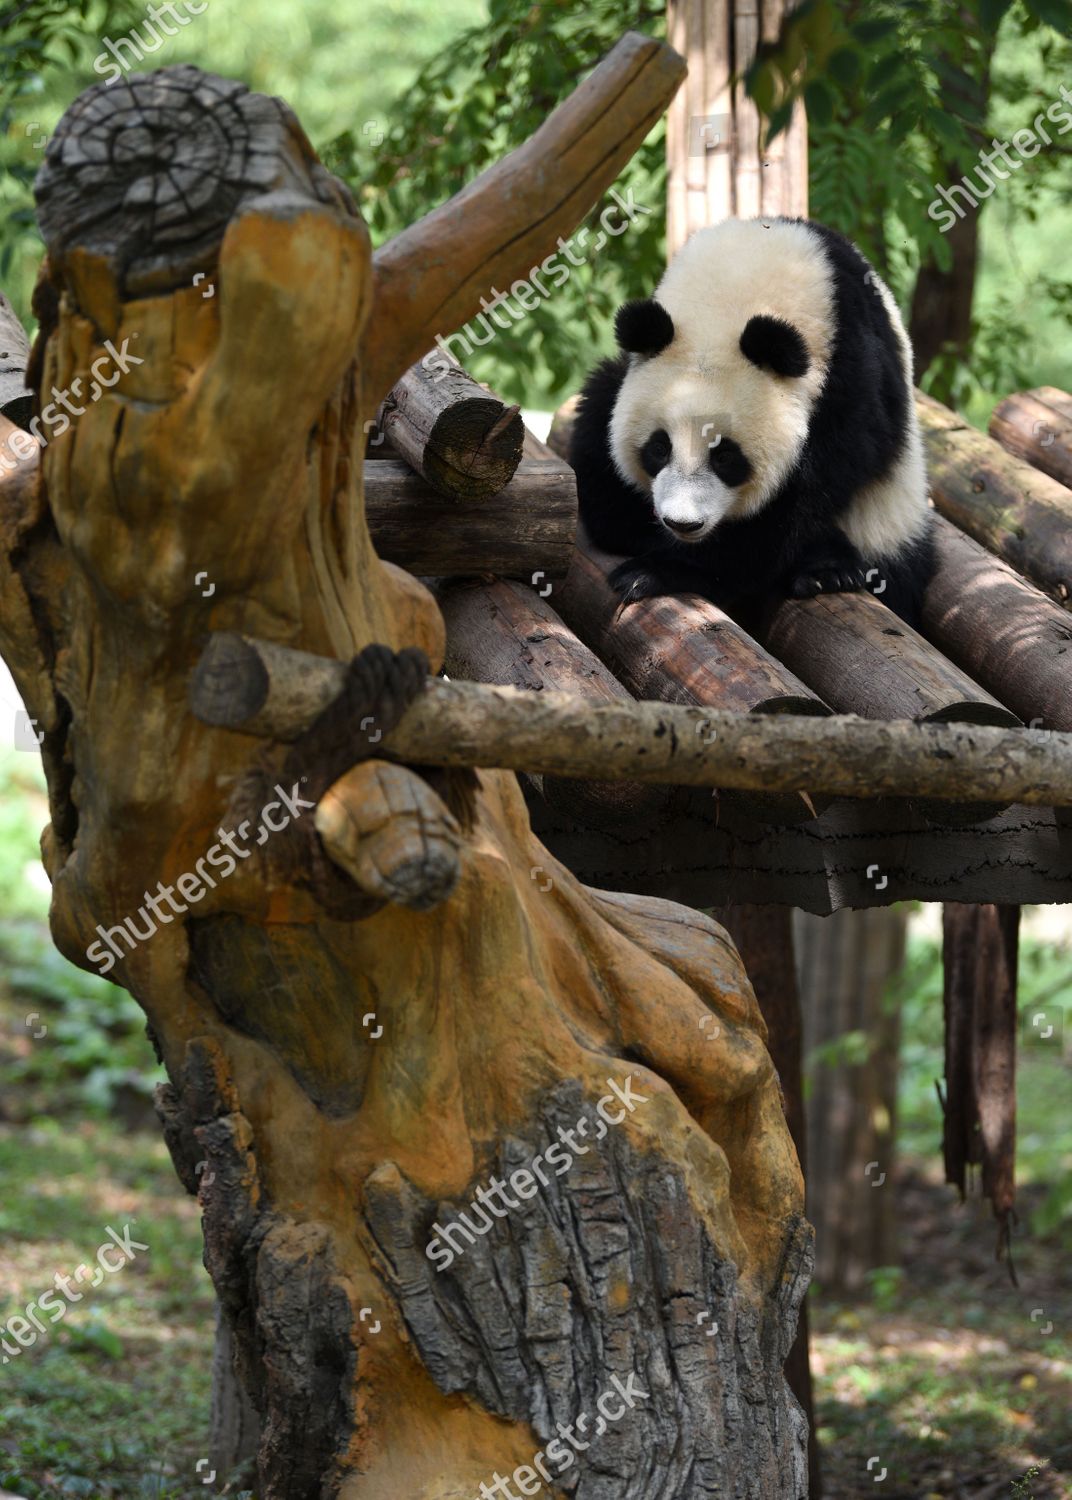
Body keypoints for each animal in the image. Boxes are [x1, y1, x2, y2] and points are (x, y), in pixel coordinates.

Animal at [575, 217, 935, 627]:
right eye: (659, 448)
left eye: (725, 457)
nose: (683, 524)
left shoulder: (846, 380)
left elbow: (795, 507)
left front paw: (657, 572)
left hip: (889, 516)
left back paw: (829, 571)